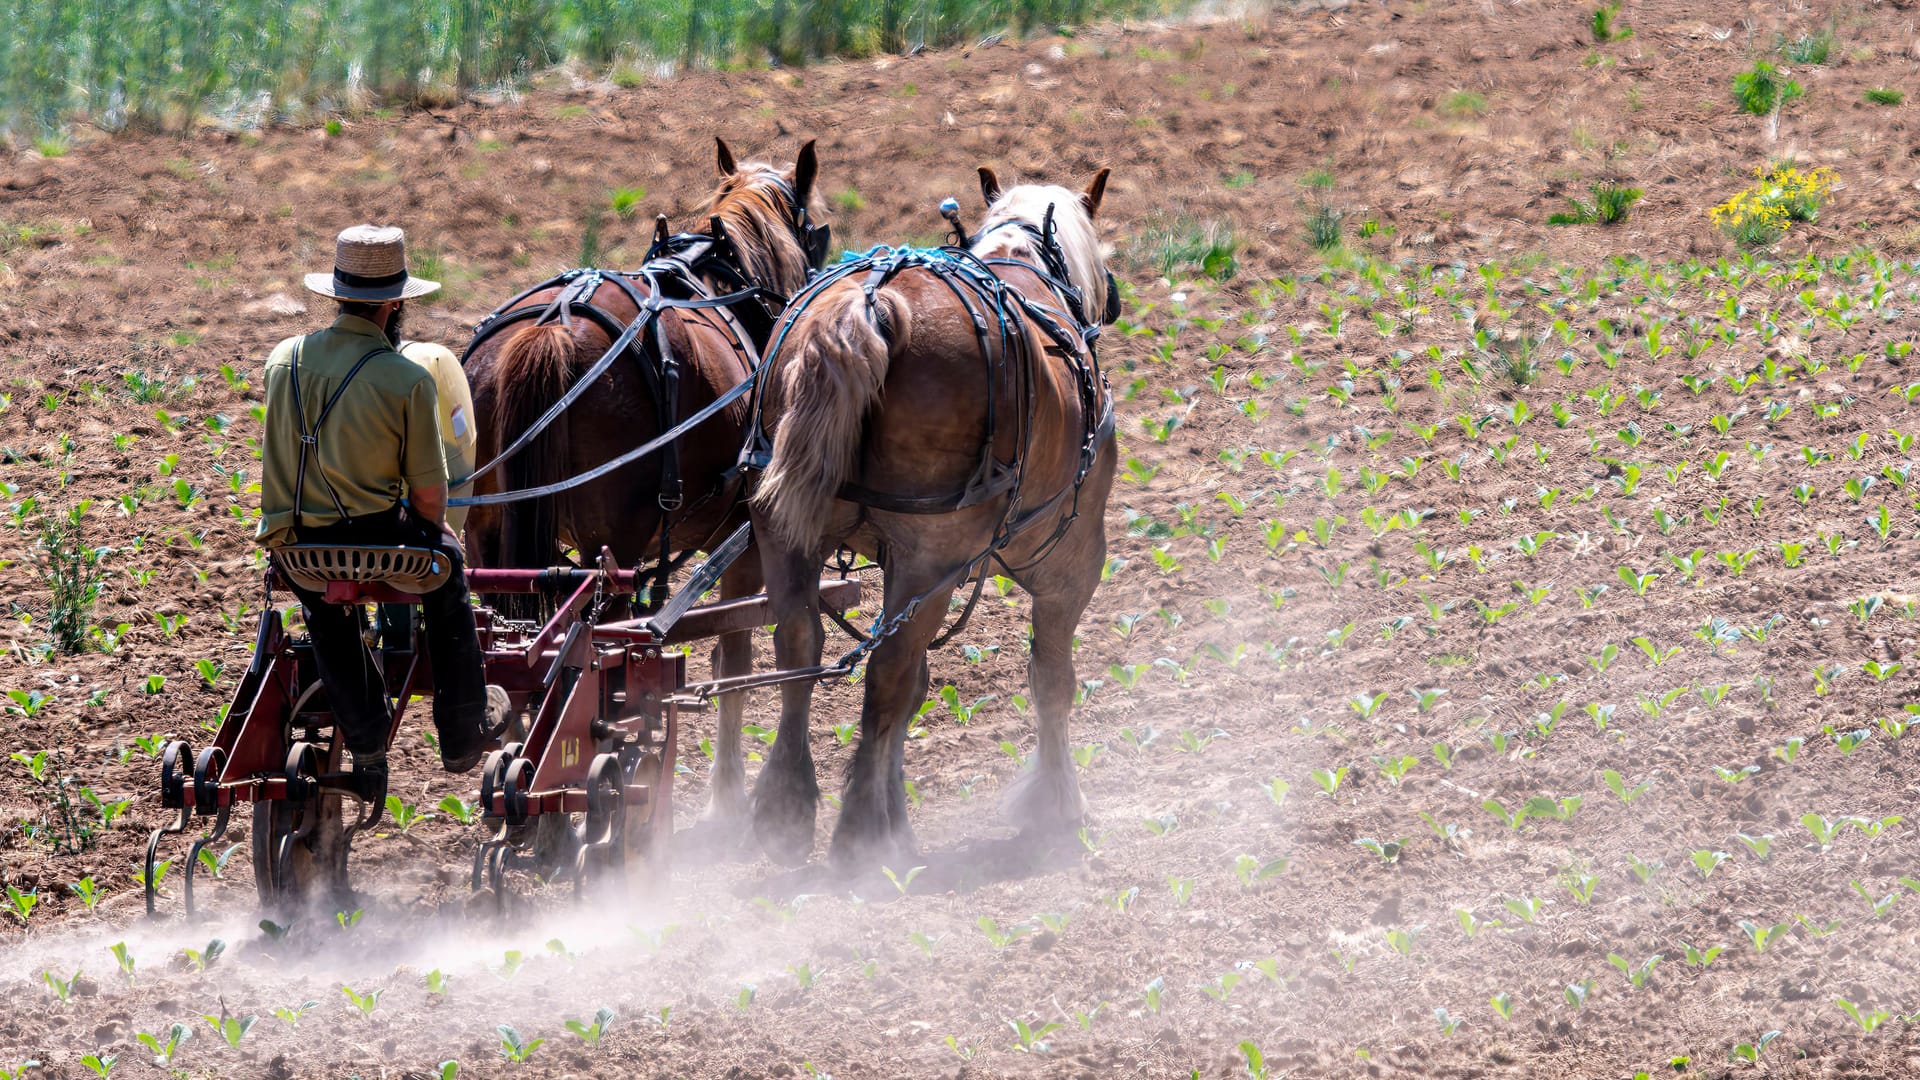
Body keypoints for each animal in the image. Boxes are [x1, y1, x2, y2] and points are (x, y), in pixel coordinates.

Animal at [741, 166, 1121, 864]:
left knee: (799, 651)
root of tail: (869, 305)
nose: (1110, 303)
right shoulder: (1072, 560)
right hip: (932, 557)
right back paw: (861, 836)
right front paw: (1056, 802)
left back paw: (788, 808)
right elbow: (1051, 678)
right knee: (884, 674)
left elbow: (916, 687)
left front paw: (896, 808)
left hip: (784, 532)